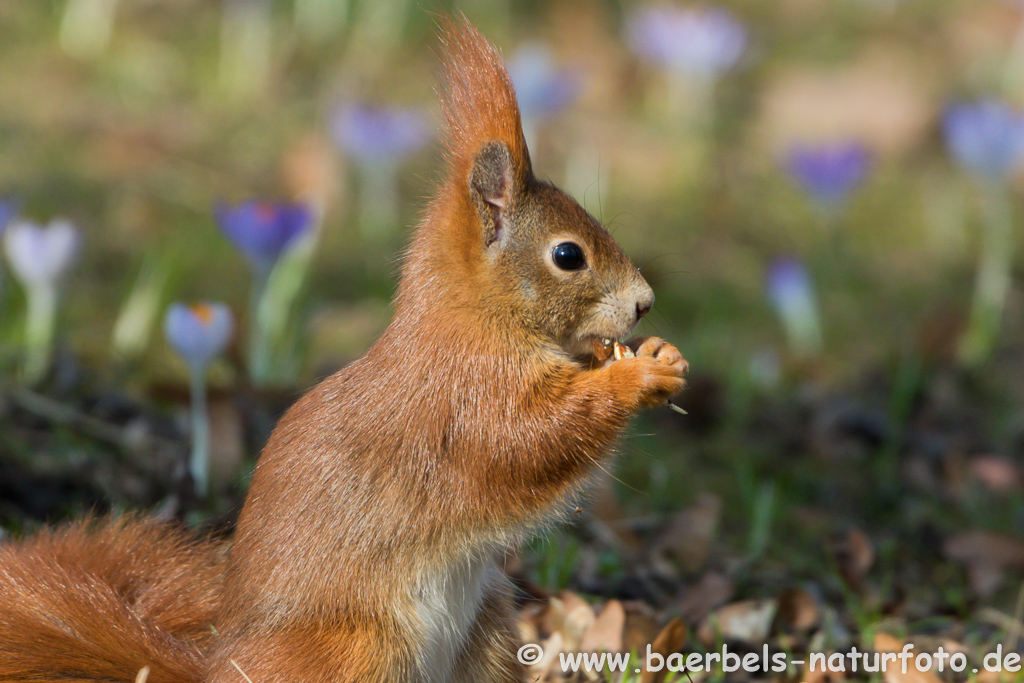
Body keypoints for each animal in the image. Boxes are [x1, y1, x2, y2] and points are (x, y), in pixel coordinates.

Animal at [2, 15, 688, 683]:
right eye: (568, 255)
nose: (645, 302)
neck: (477, 320)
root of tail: (223, 669)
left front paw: (653, 354)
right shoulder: (468, 395)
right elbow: (530, 439)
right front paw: (637, 377)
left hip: (488, 633)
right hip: (357, 648)